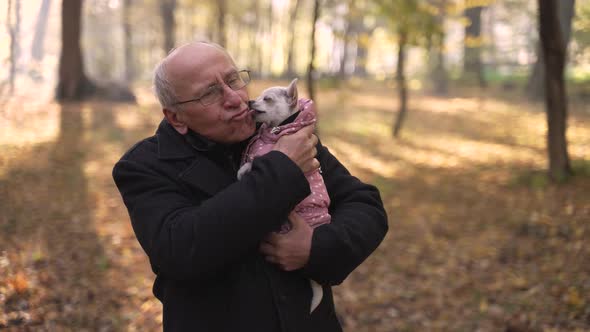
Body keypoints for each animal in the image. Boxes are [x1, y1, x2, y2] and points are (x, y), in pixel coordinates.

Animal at [240, 79, 332, 312]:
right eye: (258, 97)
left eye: (267, 99)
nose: (250, 101)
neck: (276, 129)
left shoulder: (266, 154)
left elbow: (254, 162)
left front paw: (244, 170)